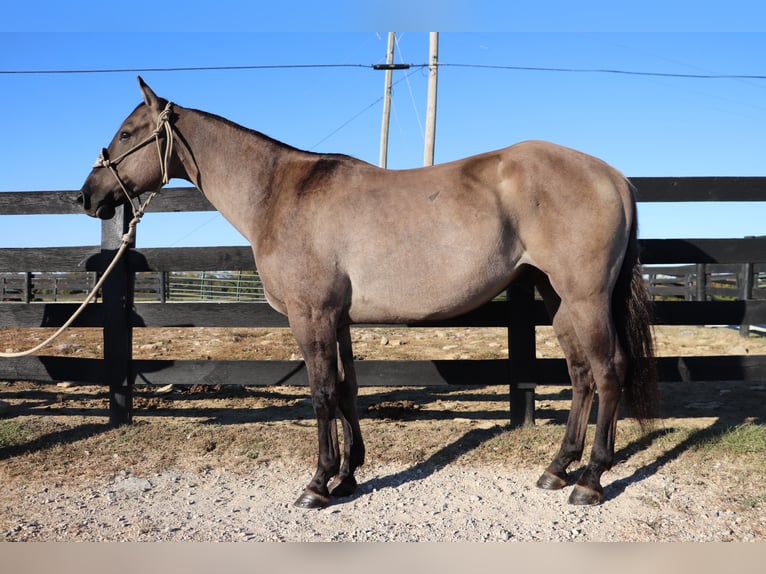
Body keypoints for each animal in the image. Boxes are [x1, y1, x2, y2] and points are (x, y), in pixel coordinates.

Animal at [81, 76, 664, 508]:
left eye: (128, 131)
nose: (88, 196)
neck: (279, 193)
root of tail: (613, 175)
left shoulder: (310, 316)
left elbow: (320, 393)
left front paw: (318, 485)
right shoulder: (336, 318)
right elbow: (346, 389)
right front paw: (348, 476)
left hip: (585, 298)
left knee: (608, 370)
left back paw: (590, 480)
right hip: (557, 298)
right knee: (582, 375)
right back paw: (557, 469)